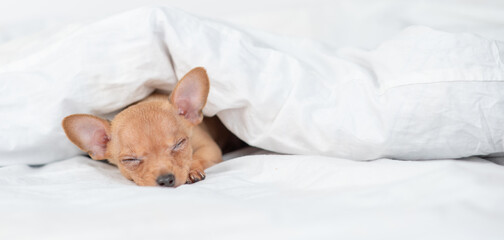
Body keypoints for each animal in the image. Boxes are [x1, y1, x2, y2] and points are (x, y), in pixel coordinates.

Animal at [63, 67, 244, 188]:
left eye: (179, 144)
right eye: (130, 160)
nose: (165, 180)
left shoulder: (209, 147)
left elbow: (196, 157)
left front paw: (192, 170)